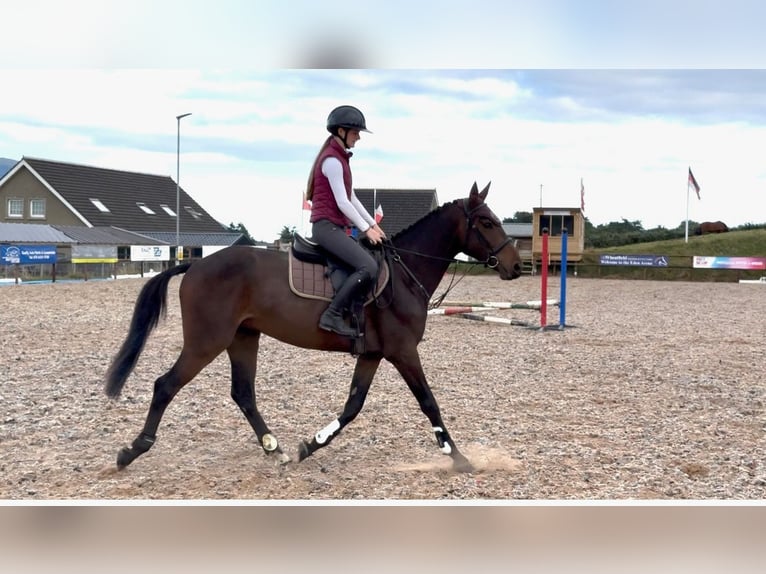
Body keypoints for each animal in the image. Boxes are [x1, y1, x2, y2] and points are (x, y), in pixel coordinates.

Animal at [104, 182, 522, 473]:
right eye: (486, 222)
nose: (516, 266)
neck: (405, 274)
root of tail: (195, 264)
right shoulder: (403, 352)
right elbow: (428, 402)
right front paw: (459, 458)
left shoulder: (373, 354)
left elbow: (353, 405)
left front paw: (311, 444)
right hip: (207, 342)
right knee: (166, 385)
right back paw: (132, 451)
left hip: (243, 338)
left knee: (243, 393)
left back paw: (276, 449)